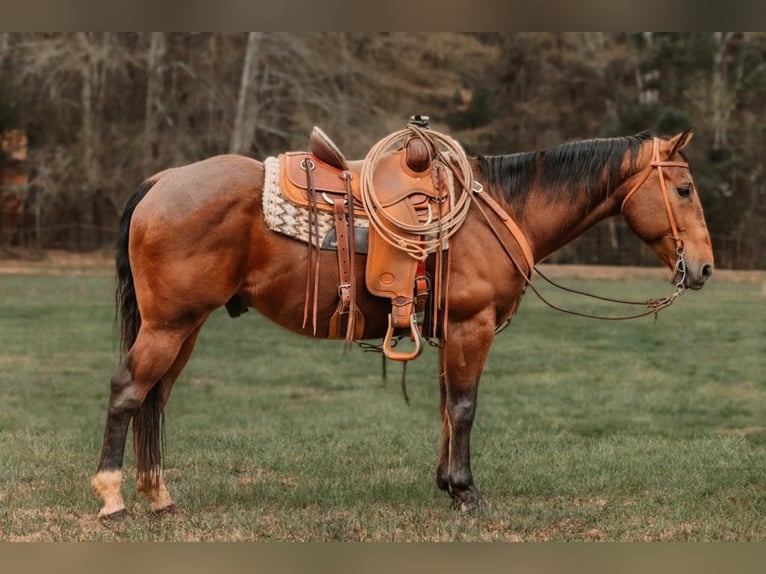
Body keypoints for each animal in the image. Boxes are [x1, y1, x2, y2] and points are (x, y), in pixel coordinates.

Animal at [93, 127, 716, 520]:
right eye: (684, 189)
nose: (705, 267)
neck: (499, 210)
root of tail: (162, 181)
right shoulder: (471, 326)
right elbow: (463, 407)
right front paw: (467, 494)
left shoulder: (449, 330)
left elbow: (445, 407)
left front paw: (447, 486)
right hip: (169, 325)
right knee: (128, 391)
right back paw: (112, 497)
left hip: (185, 327)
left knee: (155, 398)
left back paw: (159, 496)